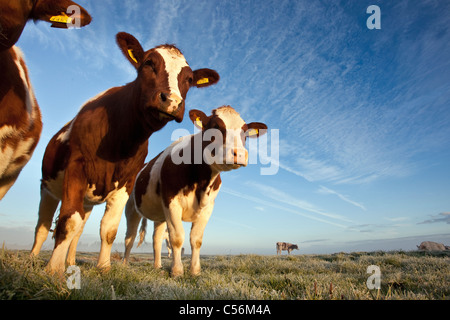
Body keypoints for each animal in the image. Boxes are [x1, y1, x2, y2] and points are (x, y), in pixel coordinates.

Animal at [29, 31, 220, 274]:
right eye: (149, 63)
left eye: (189, 79)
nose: (172, 102)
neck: (120, 140)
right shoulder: (76, 167)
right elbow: (68, 220)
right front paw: (53, 270)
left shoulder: (126, 183)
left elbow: (109, 229)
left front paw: (103, 267)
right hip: (48, 187)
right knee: (43, 226)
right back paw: (33, 259)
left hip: (87, 201)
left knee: (79, 229)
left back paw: (70, 261)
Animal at [123, 106, 268, 276]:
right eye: (215, 126)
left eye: (245, 132)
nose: (238, 154)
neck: (201, 184)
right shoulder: (171, 202)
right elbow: (177, 237)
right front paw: (177, 271)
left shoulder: (208, 207)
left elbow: (196, 239)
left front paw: (195, 270)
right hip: (131, 207)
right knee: (129, 237)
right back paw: (124, 264)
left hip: (160, 215)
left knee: (156, 238)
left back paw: (157, 266)